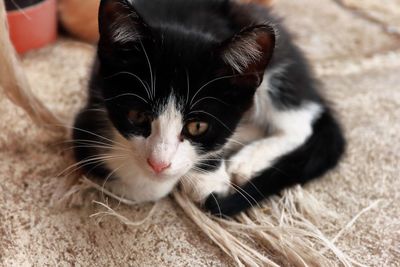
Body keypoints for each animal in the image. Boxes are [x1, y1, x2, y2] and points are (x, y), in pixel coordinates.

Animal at [73, 0, 346, 218]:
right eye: (137, 115)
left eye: (197, 126)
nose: (159, 164)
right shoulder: (89, 113)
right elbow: (144, 186)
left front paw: (205, 176)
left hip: (275, 59)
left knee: (300, 122)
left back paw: (246, 160)